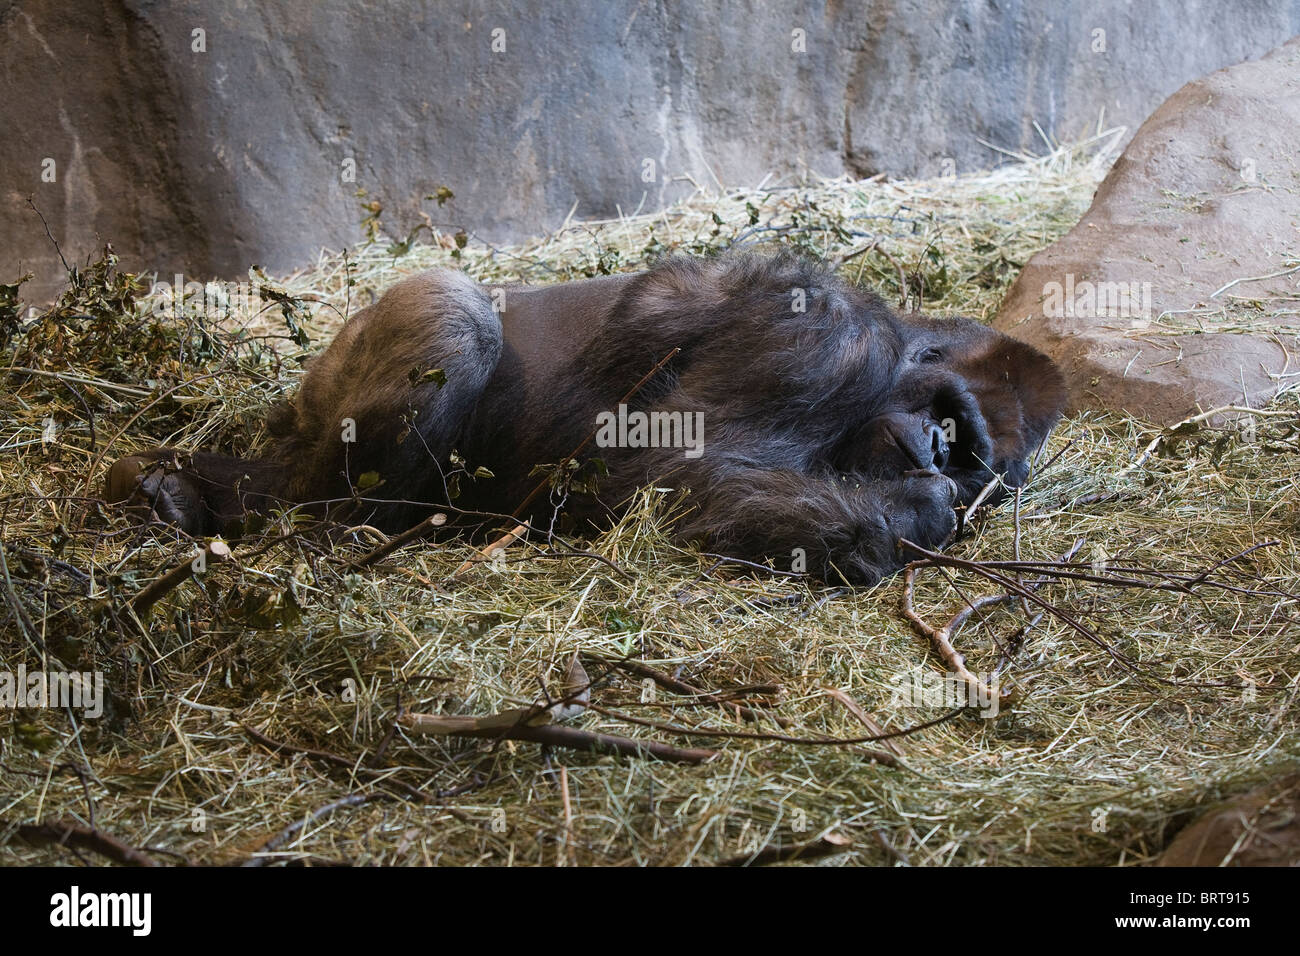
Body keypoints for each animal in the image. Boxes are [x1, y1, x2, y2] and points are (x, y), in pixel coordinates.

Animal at [104, 252, 1066, 582]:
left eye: (973, 463)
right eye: (957, 425)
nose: (937, 455)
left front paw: (924, 507)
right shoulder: (828, 341)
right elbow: (668, 478)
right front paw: (919, 508)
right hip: (340, 374)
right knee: (451, 319)